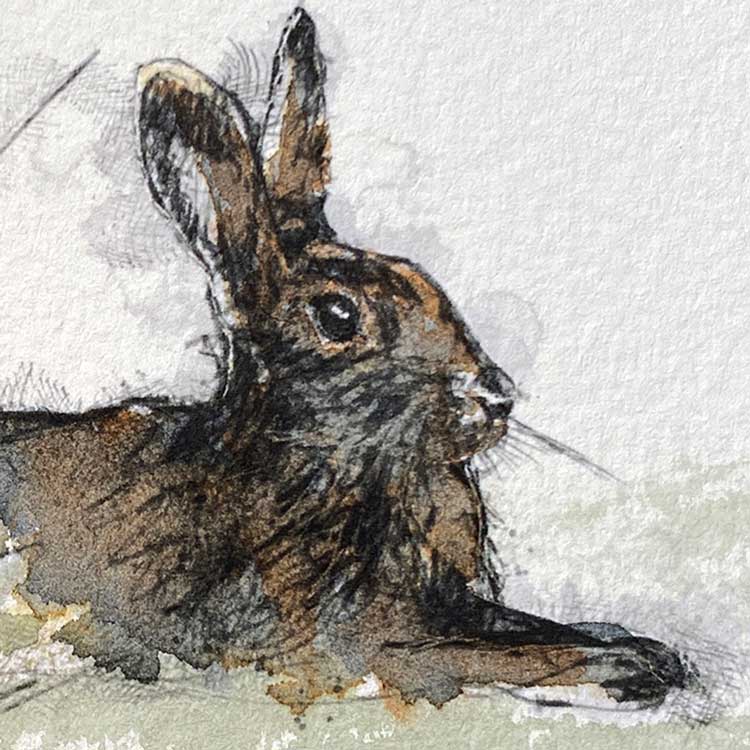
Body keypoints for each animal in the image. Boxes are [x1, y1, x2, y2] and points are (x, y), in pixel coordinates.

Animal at [0, 7, 687, 713]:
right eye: (336, 316)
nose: (495, 397)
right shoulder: (356, 641)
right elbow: (489, 657)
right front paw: (624, 667)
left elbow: (524, 628)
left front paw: (640, 648)